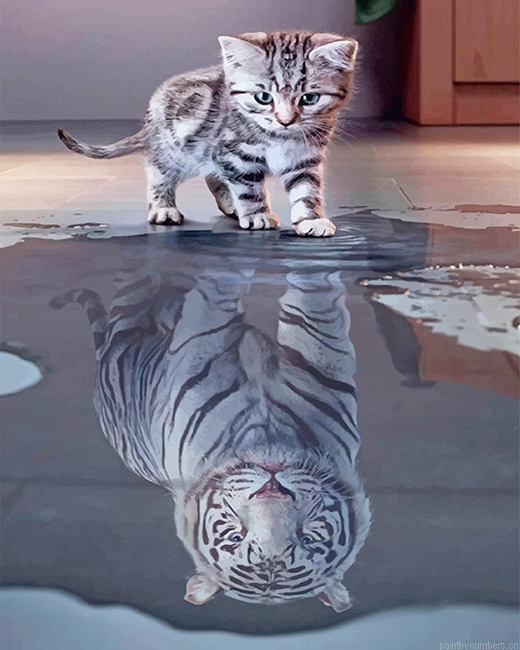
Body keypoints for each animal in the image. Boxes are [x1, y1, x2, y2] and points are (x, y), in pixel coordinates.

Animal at [50, 260, 371, 612]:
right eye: (235, 537)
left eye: (308, 539)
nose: (273, 487)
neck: (269, 435)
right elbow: (228, 296)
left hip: (129, 323)